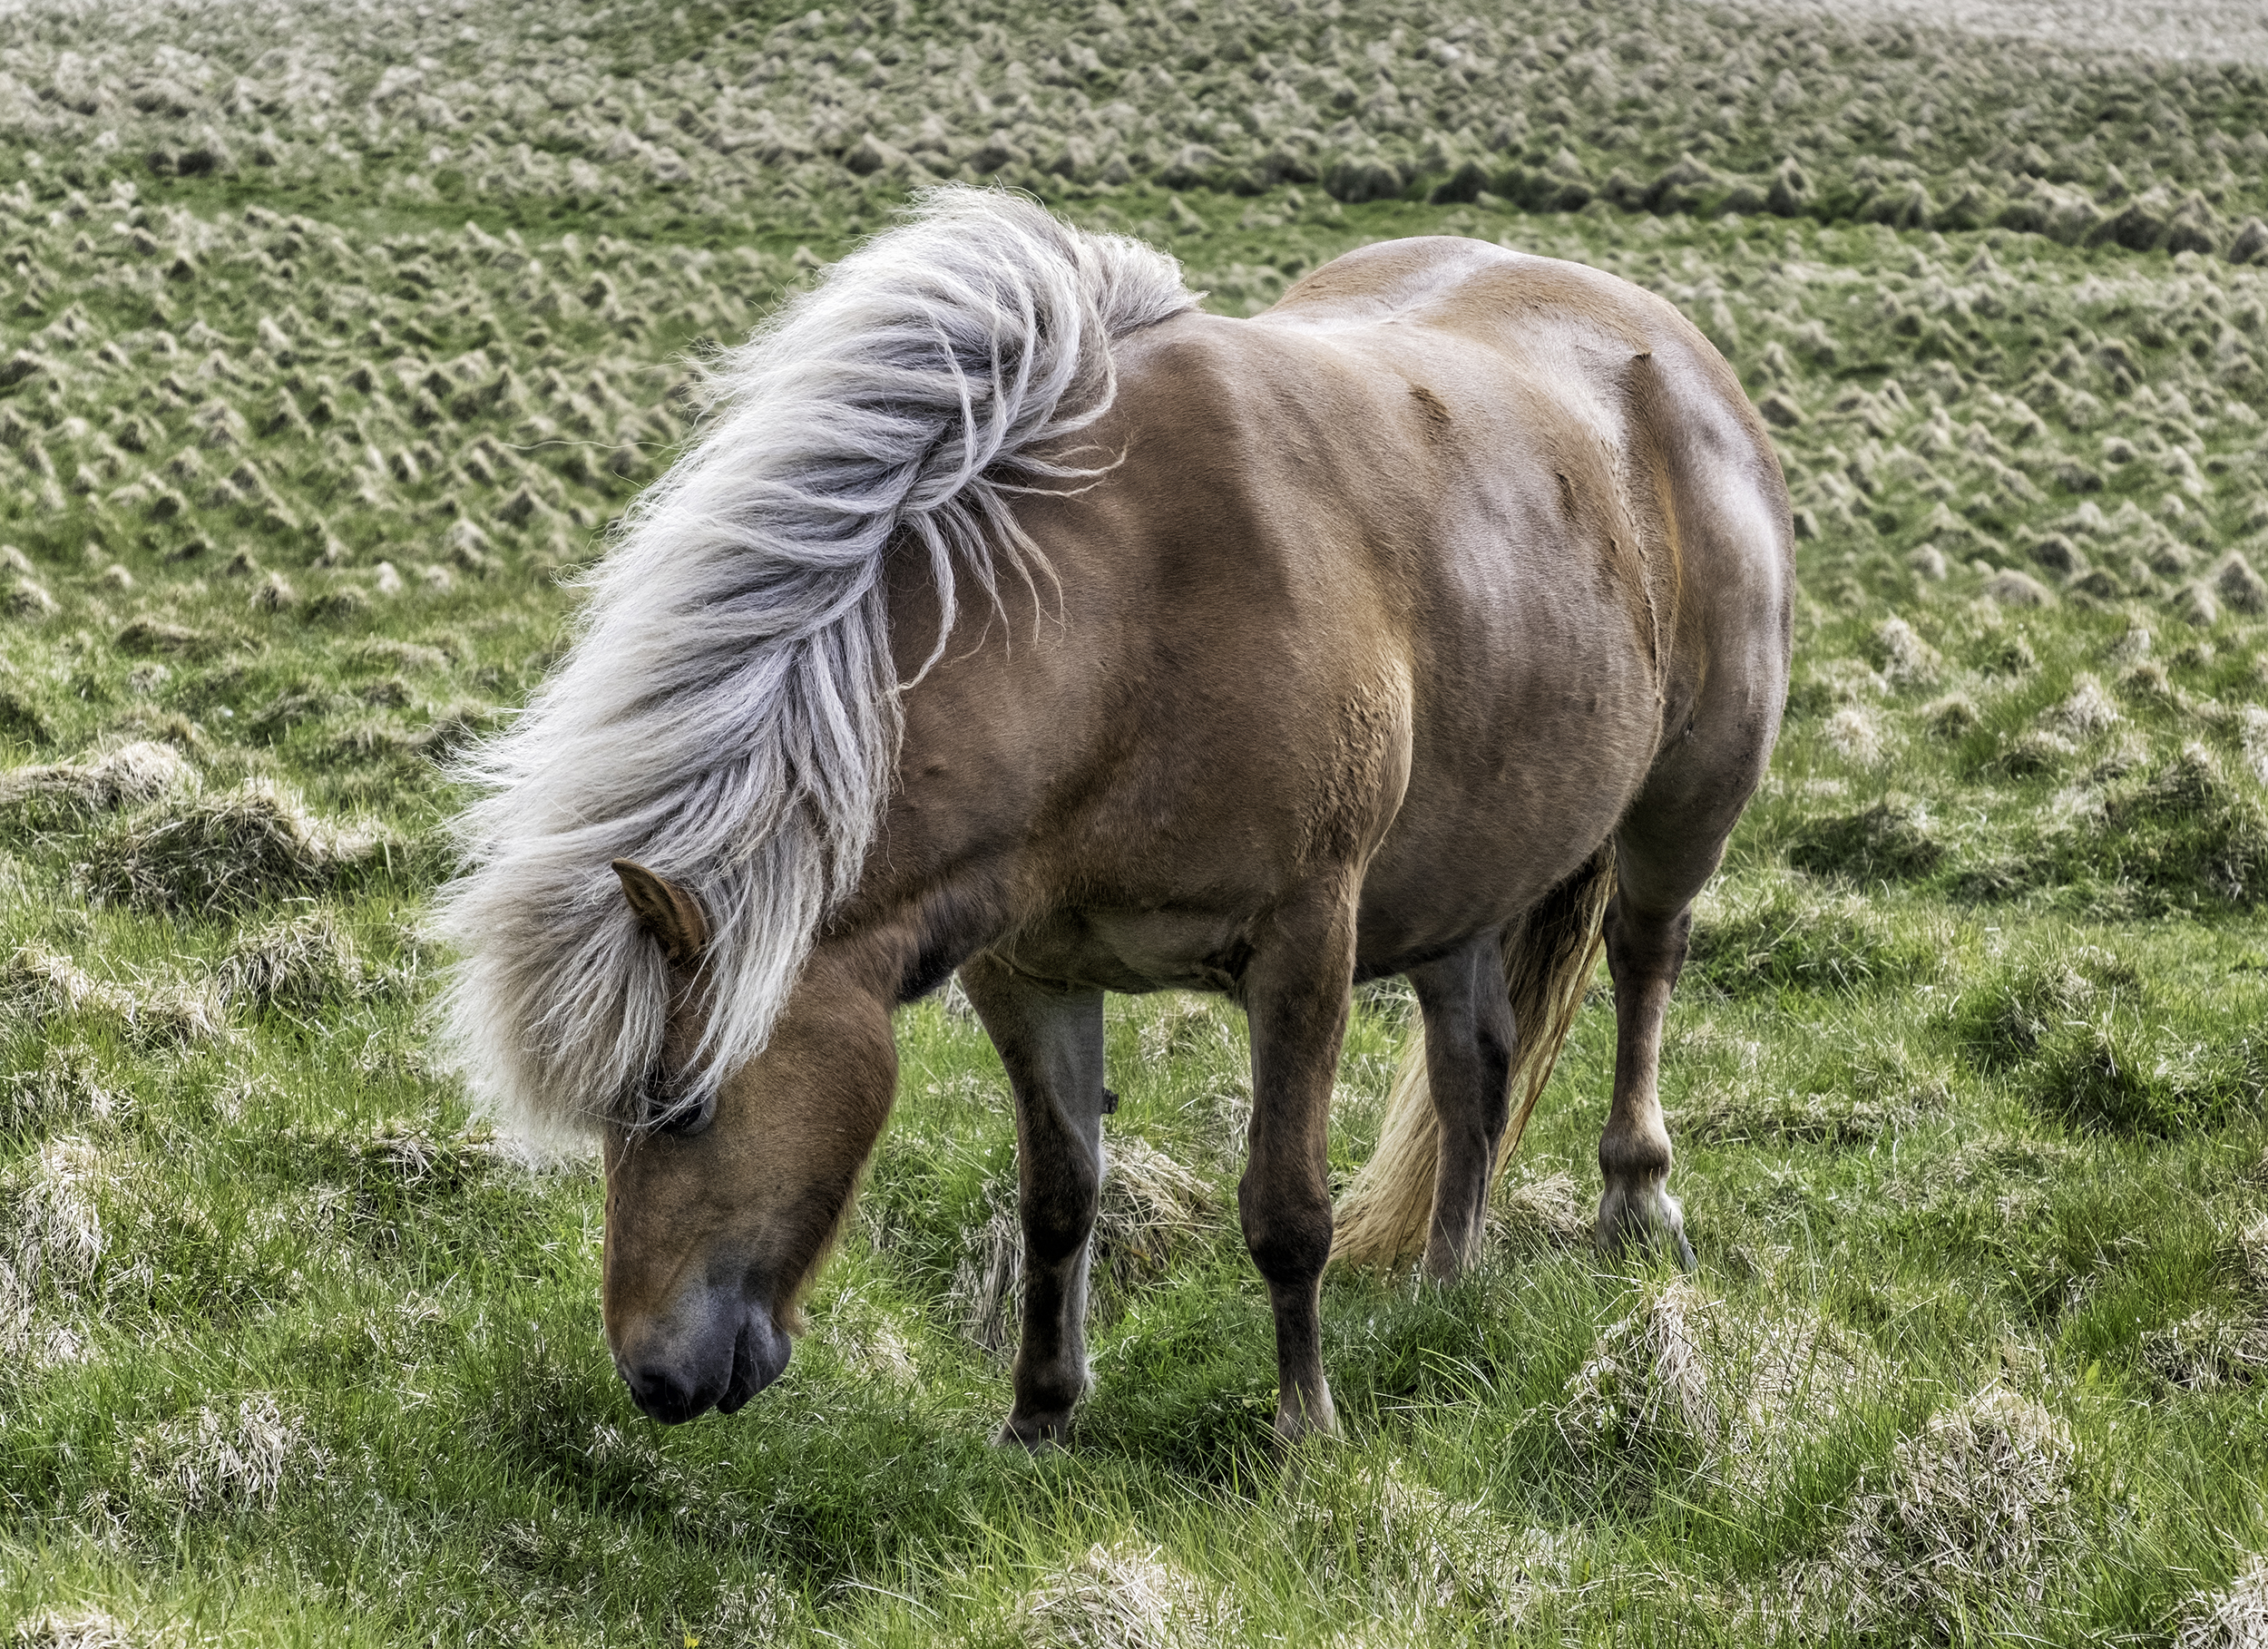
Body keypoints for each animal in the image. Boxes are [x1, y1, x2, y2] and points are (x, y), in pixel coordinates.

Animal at [437, 183, 1787, 1442]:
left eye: (684, 1103)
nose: (655, 1378)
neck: (1128, 630)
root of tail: (1668, 346)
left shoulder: (1305, 945)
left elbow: (1285, 1210)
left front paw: (1304, 1429)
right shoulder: (1026, 971)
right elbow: (1057, 1198)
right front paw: (1040, 1413)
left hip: (1681, 810)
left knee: (1643, 965)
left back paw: (1635, 1201)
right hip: (1465, 871)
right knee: (1477, 1072)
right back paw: (1448, 1284)